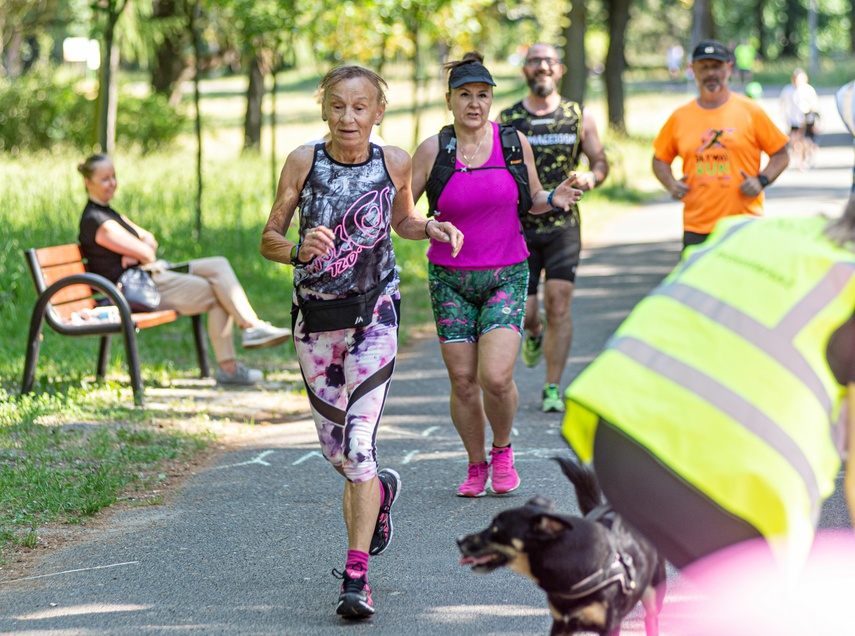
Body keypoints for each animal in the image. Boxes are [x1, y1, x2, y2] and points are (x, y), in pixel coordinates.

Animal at [458, 458, 664, 636]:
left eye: (496, 529)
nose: (459, 540)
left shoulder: (610, 626)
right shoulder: (560, 624)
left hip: (654, 593)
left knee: (651, 620)